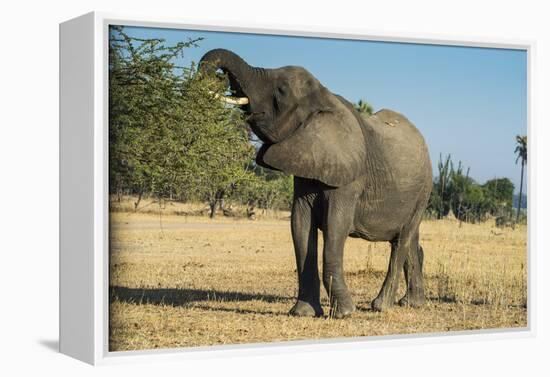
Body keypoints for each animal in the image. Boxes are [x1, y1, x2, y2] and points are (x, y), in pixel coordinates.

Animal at [201, 47, 434, 318]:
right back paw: (411, 303)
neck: (325, 97)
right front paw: (302, 312)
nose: (219, 79)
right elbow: (300, 225)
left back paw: (381, 306)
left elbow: (335, 227)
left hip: (424, 190)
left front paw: (344, 313)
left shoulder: (350, 178)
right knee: (411, 241)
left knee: (401, 241)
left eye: (281, 91)